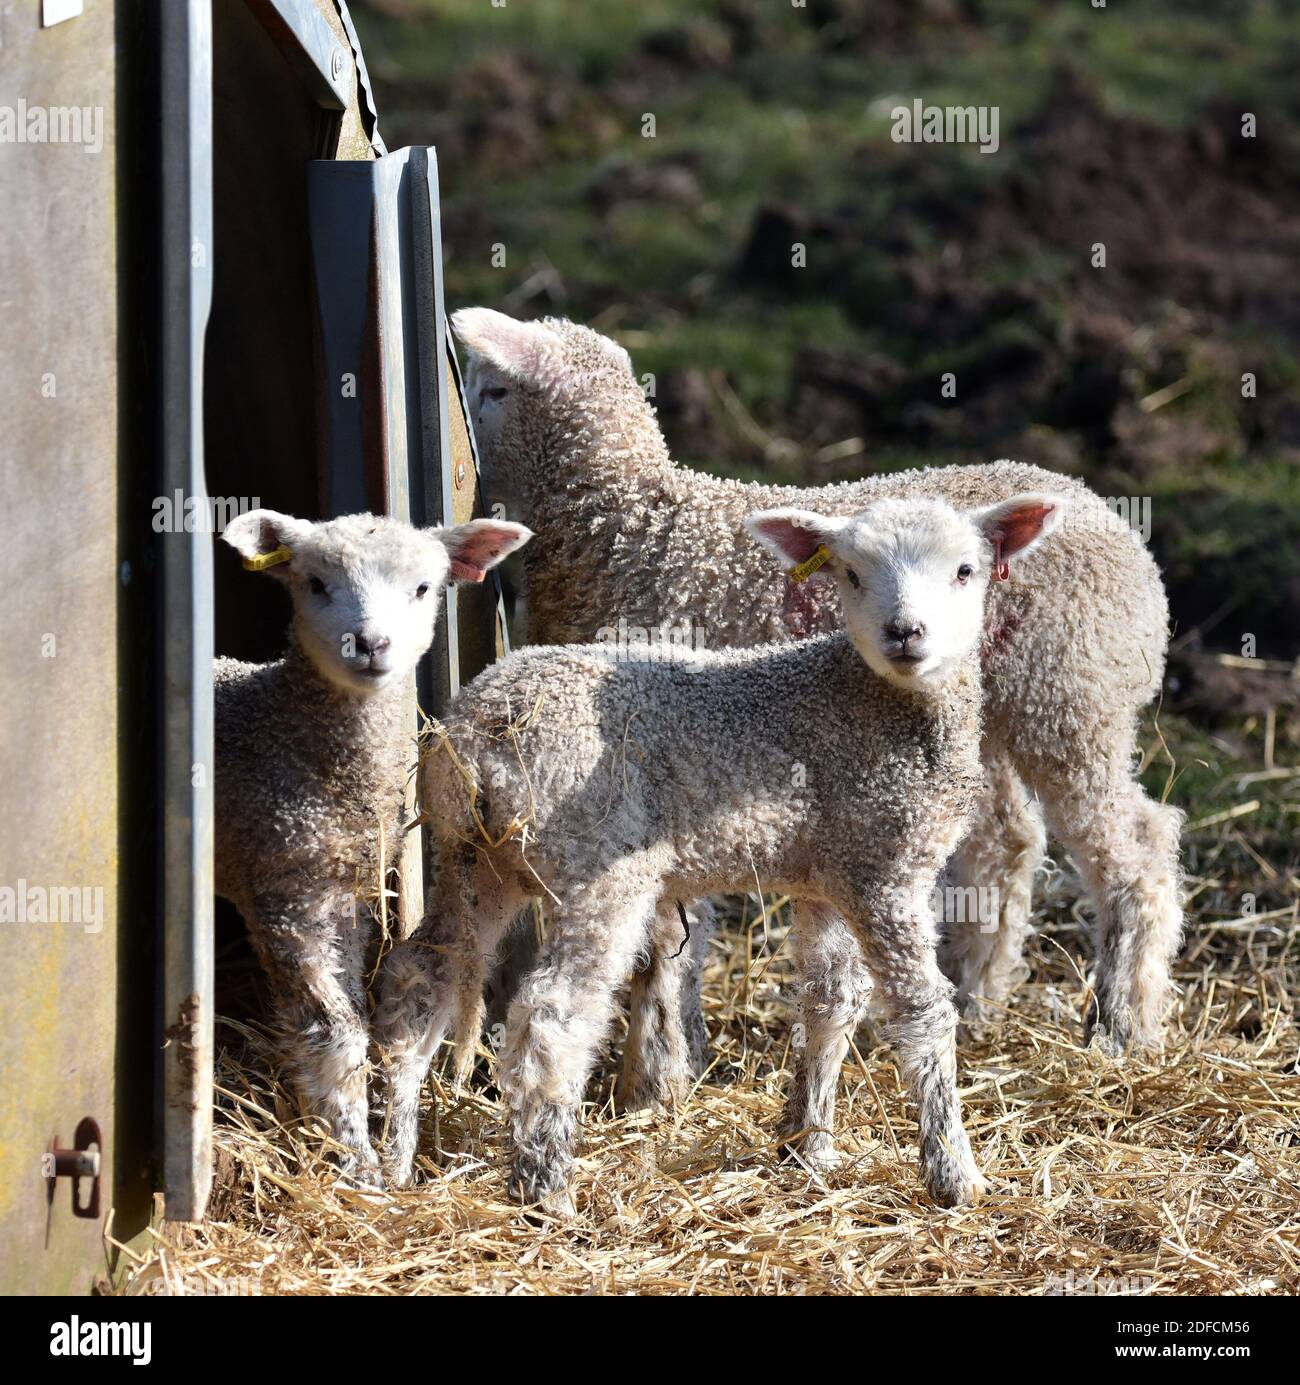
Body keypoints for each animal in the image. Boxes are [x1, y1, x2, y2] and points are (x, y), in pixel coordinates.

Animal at [215, 508, 531, 1185]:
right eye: (314, 584)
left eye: (423, 588)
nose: (369, 644)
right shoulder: (282, 886)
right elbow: (333, 1033)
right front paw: (357, 1167)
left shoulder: (346, 893)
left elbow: (357, 1017)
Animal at [376, 491, 1064, 1210]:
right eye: (850, 574)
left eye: (965, 570)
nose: (906, 632)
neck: (877, 702)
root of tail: (476, 730)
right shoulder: (885, 869)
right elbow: (924, 1012)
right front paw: (954, 1171)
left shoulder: (832, 872)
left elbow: (831, 1000)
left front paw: (808, 1144)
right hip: (596, 859)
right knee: (551, 1014)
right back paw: (547, 1190)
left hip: (472, 856)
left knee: (420, 976)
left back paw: (391, 1161)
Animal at [453, 308, 1184, 1061]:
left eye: (492, 390)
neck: (625, 527)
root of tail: (1124, 533)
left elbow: (680, 930)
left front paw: (674, 1048)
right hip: (989, 718)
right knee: (1005, 847)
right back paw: (976, 994)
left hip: (1073, 699)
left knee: (1137, 843)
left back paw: (1123, 1022)